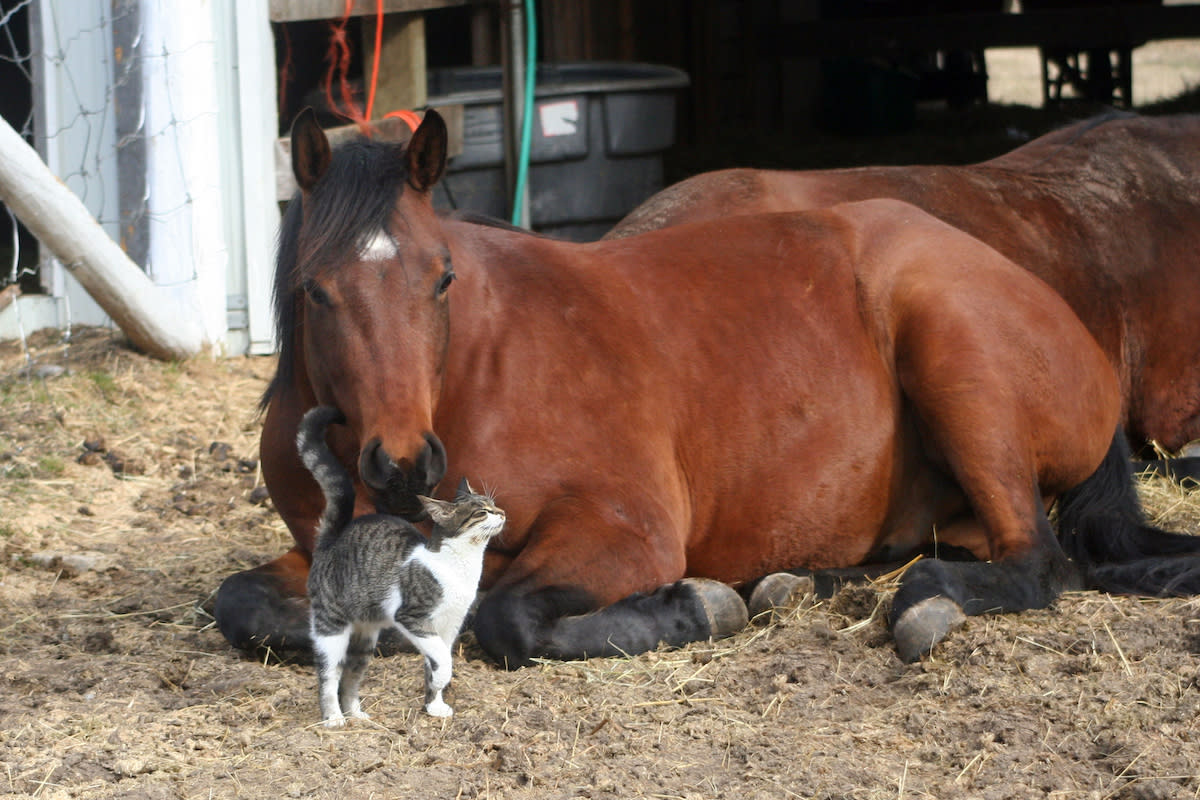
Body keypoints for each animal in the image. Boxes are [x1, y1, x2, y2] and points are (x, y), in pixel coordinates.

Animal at [302, 407, 508, 724]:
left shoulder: (449, 626)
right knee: (328, 675)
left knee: (350, 676)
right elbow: (443, 661)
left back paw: (356, 714)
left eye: (493, 505)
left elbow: (434, 666)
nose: (503, 513)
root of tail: (331, 541)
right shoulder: (413, 619)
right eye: (482, 513)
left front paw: (434, 706)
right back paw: (334, 718)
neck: (458, 565)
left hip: (365, 639)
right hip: (331, 626)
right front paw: (440, 685)